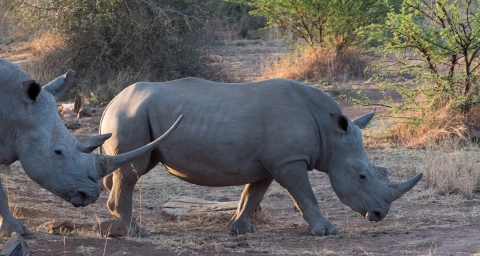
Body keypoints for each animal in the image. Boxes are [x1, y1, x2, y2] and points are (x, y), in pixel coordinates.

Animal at [99, 77, 422, 237]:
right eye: (362, 176)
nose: (379, 215)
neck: (331, 134)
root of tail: (112, 101)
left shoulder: (269, 163)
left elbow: (252, 194)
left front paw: (240, 231)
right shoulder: (289, 160)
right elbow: (305, 195)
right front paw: (327, 232)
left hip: (135, 114)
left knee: (128, 168)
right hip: (131, 115)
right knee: (131, 171)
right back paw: (138, 233)